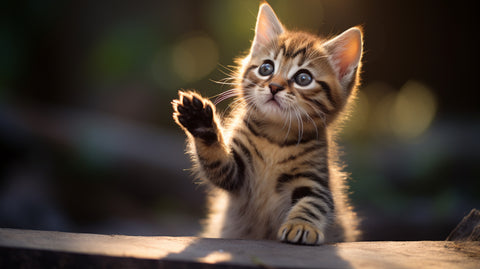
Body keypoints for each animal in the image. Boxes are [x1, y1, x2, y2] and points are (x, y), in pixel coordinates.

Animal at [171, 2, 362, 245]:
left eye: (303, 78)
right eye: (266, 68)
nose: (274, 86)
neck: (275, 137)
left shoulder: (315, 179)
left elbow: (314, 203)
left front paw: (301, 225)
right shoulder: (235, 174)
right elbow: (215, 158)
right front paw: (199, 119)